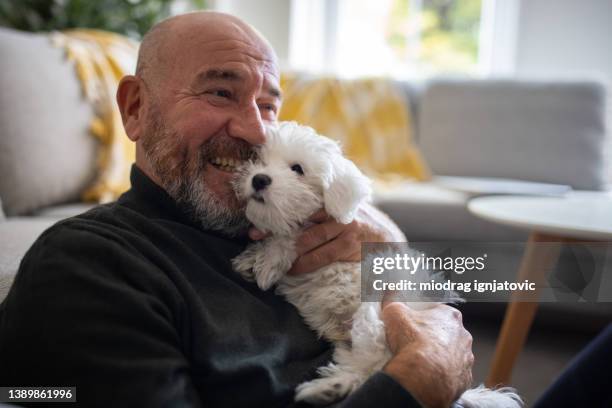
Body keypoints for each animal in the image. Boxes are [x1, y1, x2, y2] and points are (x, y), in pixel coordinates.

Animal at [230, 122, 520, 408]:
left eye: (297, 169)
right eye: (258, 160)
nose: (259, 179)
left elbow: (291, 236)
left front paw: (266, 260)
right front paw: (252, 258)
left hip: (372, 316)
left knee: (373, 362)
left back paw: (326, 387)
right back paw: (328, 388)